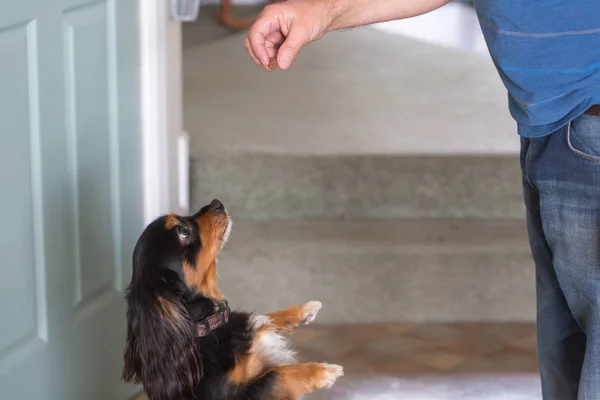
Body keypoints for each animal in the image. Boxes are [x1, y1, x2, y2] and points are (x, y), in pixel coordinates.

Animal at [120, 200, 342, 400]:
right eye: (182, 231)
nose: (216, 203)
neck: (206, 325)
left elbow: (263, 317)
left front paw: (304, 310)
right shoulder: (238, 394)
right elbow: (276, 374)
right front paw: (323, 371)